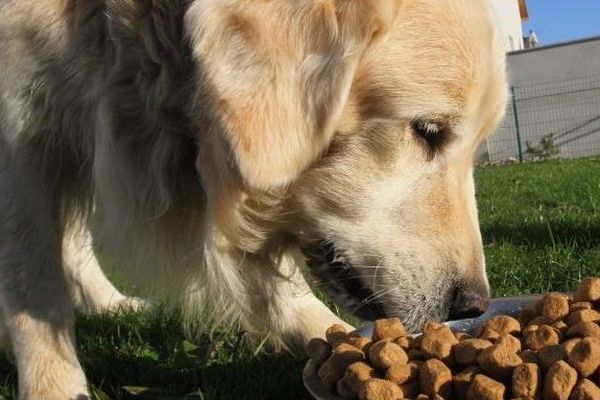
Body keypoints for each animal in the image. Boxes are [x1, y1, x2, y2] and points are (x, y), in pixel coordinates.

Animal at [0, 0, 506, 398]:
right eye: (428, 131)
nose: (471, 307)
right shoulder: (20, 135)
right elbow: (35, 289)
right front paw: (53, 388)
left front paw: (330, 337)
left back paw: (110, 302)